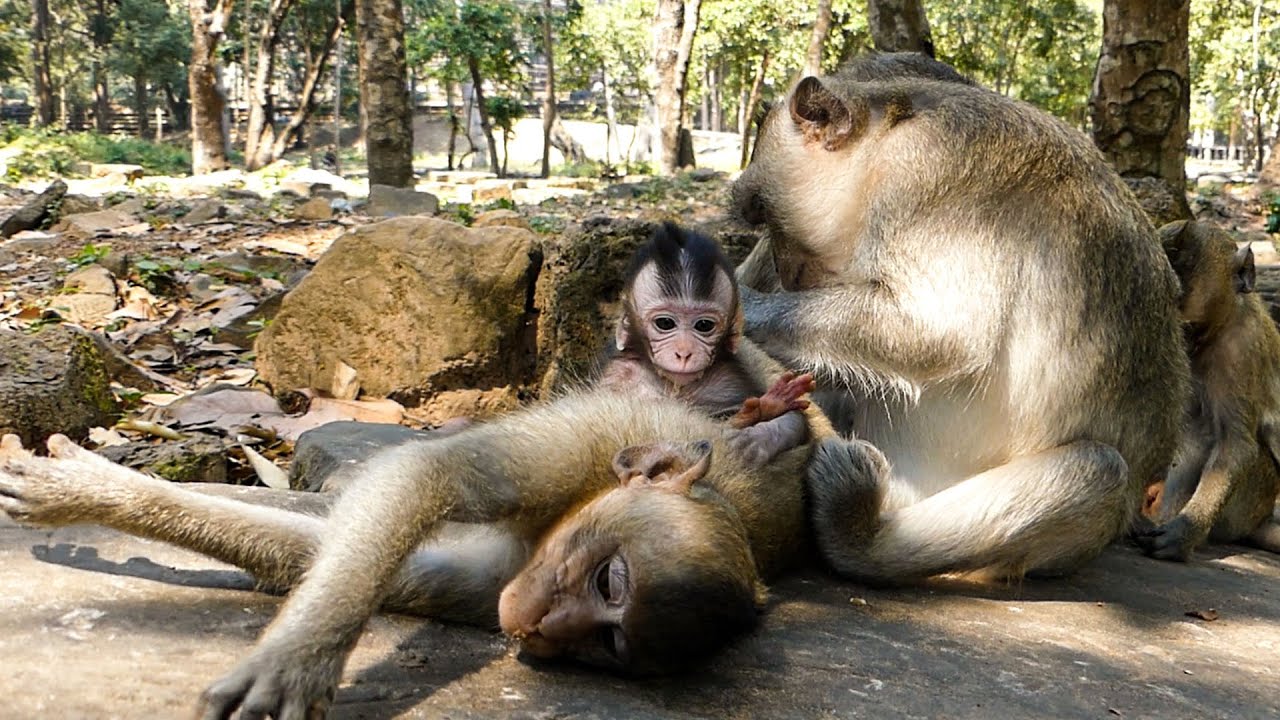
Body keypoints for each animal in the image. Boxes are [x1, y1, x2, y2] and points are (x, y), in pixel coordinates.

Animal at [0, 384, 818, 716]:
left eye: (606, 645)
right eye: (609, 580)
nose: (542, 632)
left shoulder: (501, 587)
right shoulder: (579, 447)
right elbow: (422, 477)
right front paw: (294, 660)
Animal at [596, 222, 822, 466]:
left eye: (704, 325)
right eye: (665, 323)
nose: (684, 352)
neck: (677, 388)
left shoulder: (729, 377)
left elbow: (797, 420)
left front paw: (761, 428)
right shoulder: (617, 376)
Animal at [730, 52, 1189, 582]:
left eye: (763, 212)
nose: (782, 268)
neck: (883, 140)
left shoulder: (924, 177)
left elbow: (941, 333)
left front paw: (740, 304)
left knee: (1097, 471)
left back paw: (859, 536)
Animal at [1135, 220, 1280, 560]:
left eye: (1188, 326)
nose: (1178, 348)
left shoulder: (1241, 350)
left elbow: (1235, 444)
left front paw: (1184, 530)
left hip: (1249, 501)